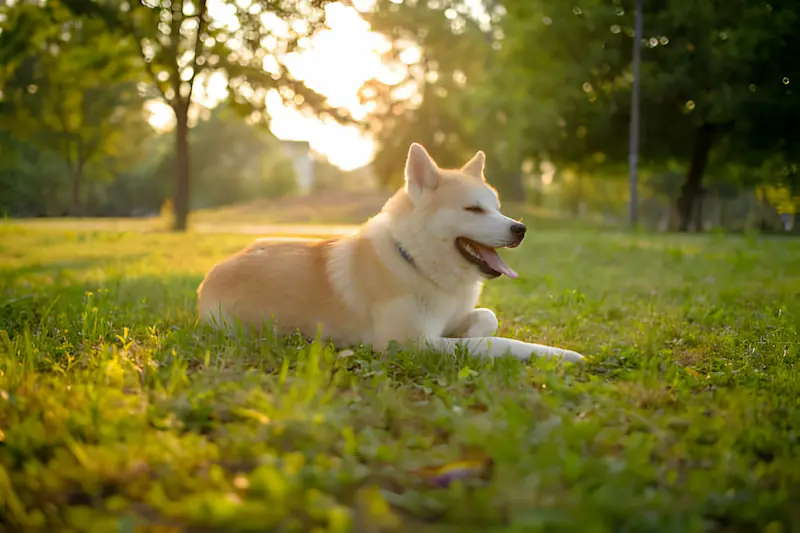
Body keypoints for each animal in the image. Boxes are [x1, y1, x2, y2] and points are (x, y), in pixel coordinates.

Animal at [198, 141, 588, 364]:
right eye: (474, 209)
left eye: (497, 208)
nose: (520, 229)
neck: (414, 261)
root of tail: (210, 275)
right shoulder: (411, 344)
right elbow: (497, 344)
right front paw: (559, 354)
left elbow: (487, 319)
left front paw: (468, 331)